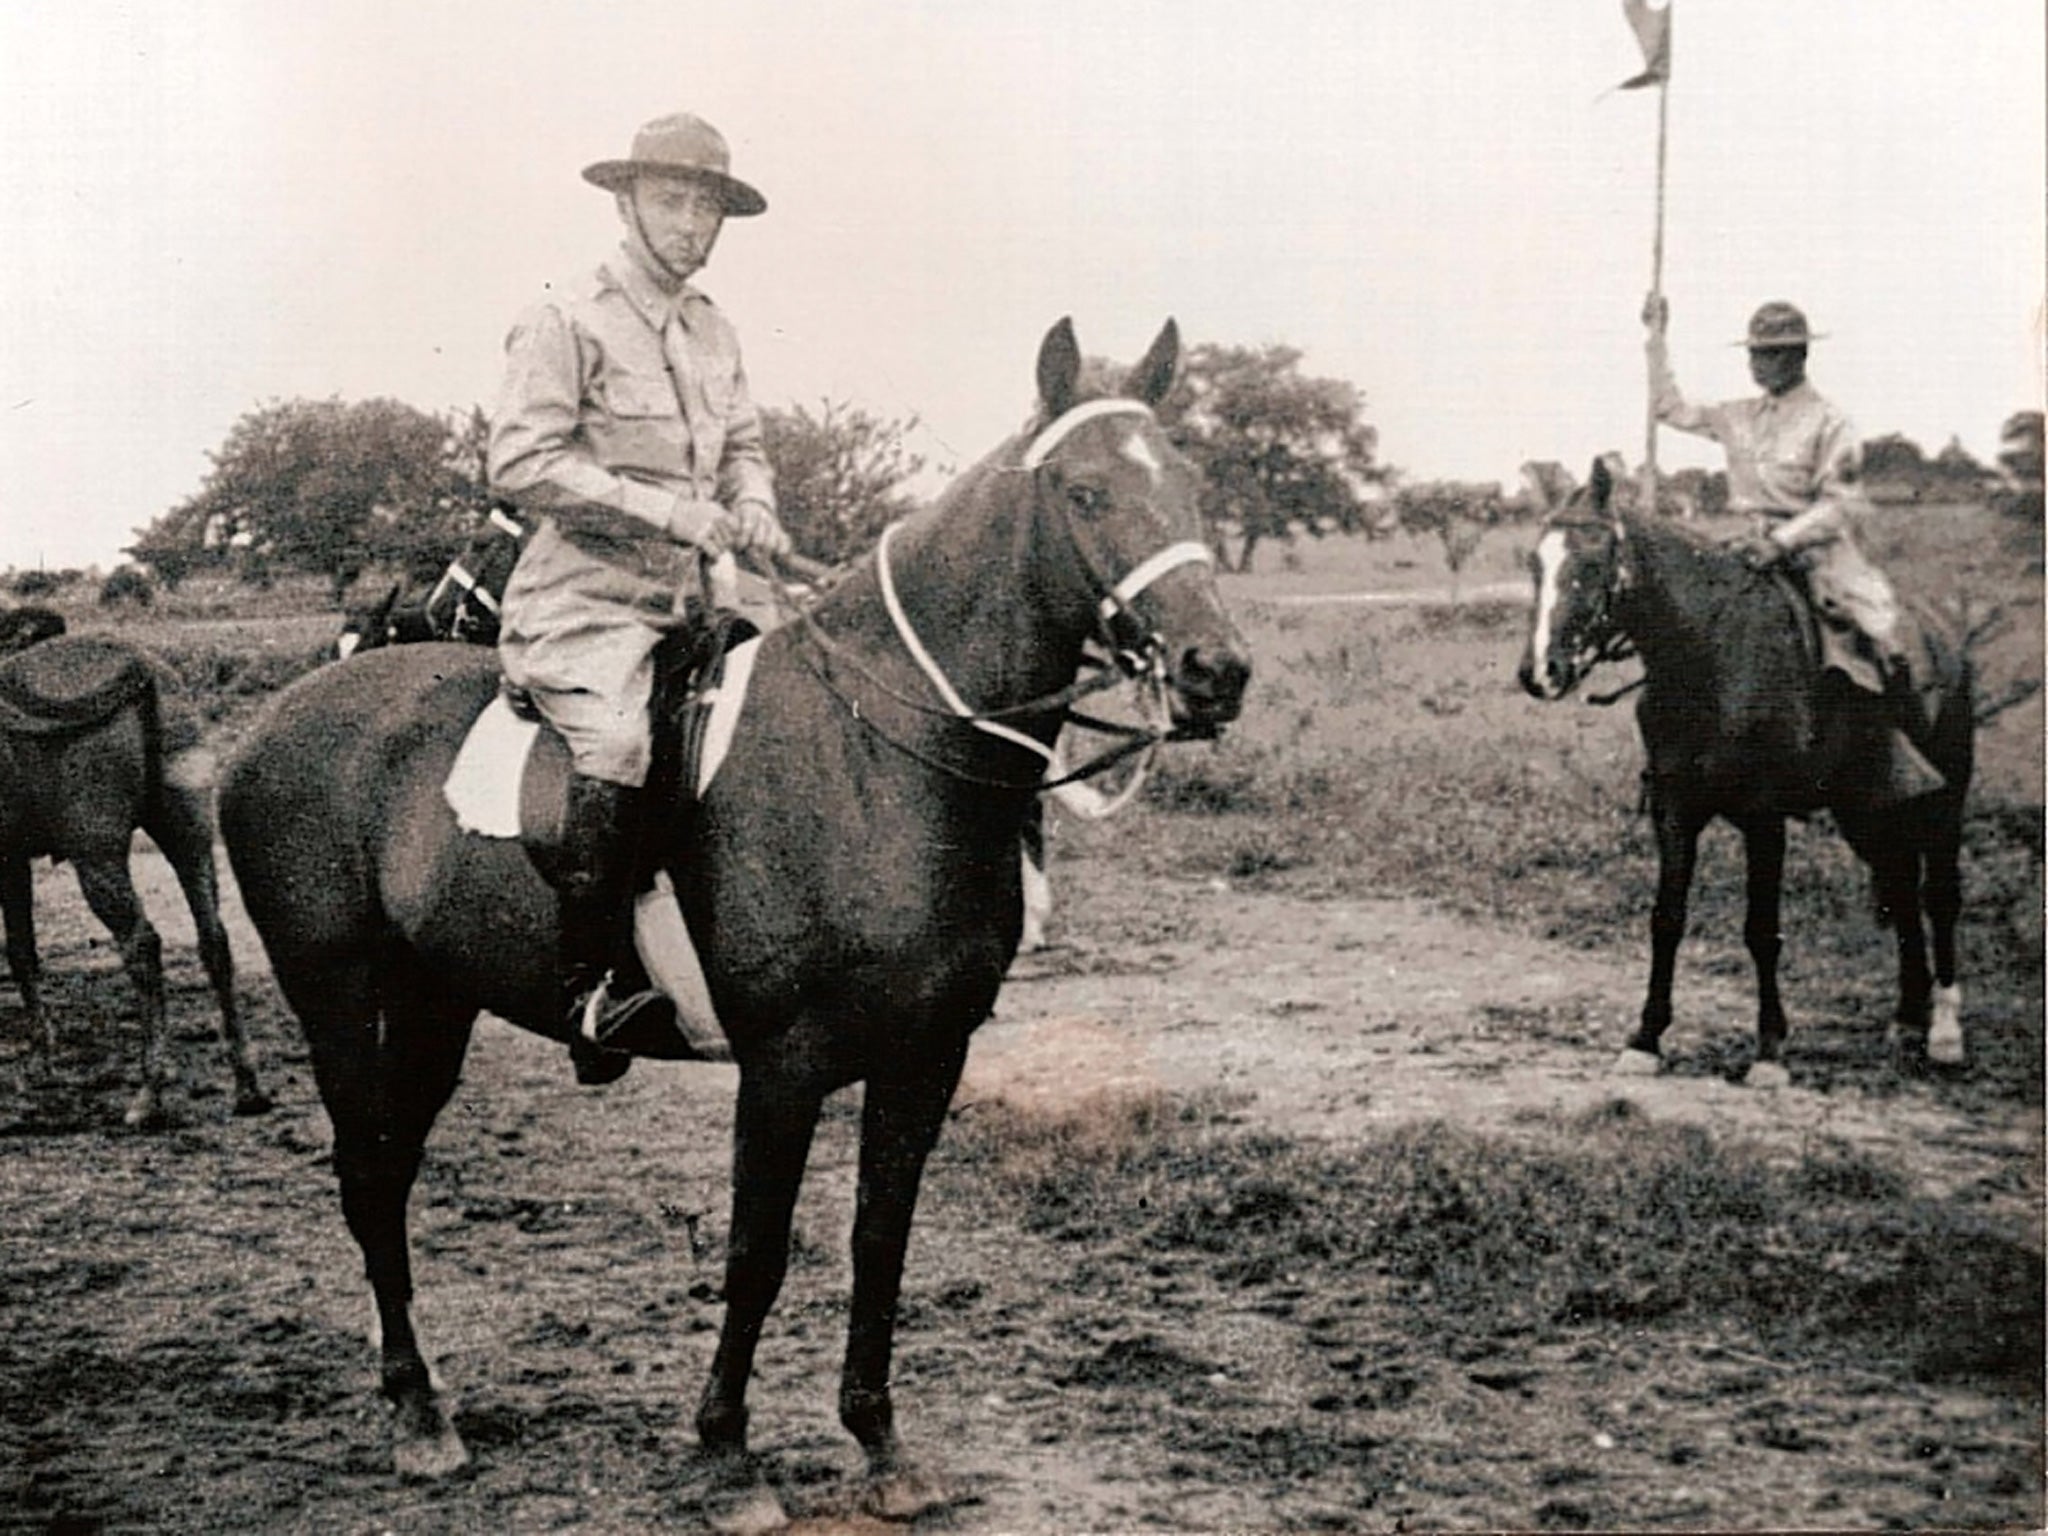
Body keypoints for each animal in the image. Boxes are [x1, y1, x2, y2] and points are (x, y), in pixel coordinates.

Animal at [0, 630, 268, 1122]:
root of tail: (143, 666)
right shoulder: (11, 860)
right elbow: (22, 952)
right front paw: (41, 1063)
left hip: (96, 856)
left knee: (142, 944)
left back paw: (151, 1090)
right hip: (189, 833)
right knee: (214, 938)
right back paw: (247, 1083)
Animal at [224, 315, 1245, 1531]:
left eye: (1189, 481)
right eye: (1085, 492)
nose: (1217, 671)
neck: (878, 757)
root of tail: (269, 723)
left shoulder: (925, 1057)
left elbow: (879, 1241)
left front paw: (881, 1446)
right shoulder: (784, 1067)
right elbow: (758, 1251)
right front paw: (725, 1457)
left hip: (435, 1006)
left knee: (388, 1172)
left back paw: (420, 1403)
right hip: (337, 1000)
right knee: (363, 1176)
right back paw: (418, 1420)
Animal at [1523, 456, 1966, 1081]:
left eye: (1590, 563)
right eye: (1535, 564)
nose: (1540, 673)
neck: (1710, 657)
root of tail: (1942, 634)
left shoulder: (1764, 817)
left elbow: (1762, 930)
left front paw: (1769, 1051)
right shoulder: (1674, 810)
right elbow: (1667, 918)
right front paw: (1645, 1039)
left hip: (1944, 800)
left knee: (1940, 896)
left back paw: (1947, 1033)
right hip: (1867, 811)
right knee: (1901, 889)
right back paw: (1907, 1024)